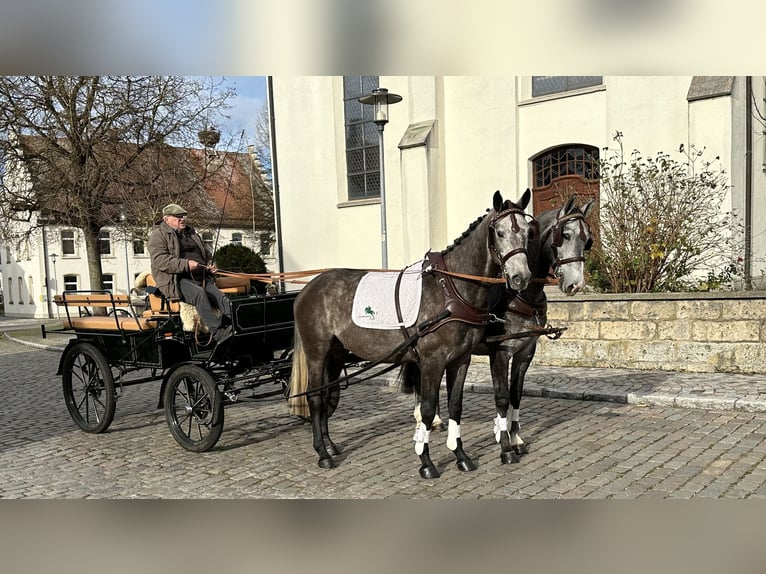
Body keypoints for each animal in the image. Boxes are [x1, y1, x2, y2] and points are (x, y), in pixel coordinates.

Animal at [292, 190, 536, 482]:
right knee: (315, 398)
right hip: (317, 351)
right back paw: (323, 453)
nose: (521, 277)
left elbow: (455, 406)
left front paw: (461, 456)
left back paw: (330, 445)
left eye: (528, 232)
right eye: (499, 232)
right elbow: (428, 409)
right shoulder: (432, 361)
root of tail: (308, 289)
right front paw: (426, 461)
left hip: (336, 354)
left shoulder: (461, 359)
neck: (452, 290)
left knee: (328, 393)